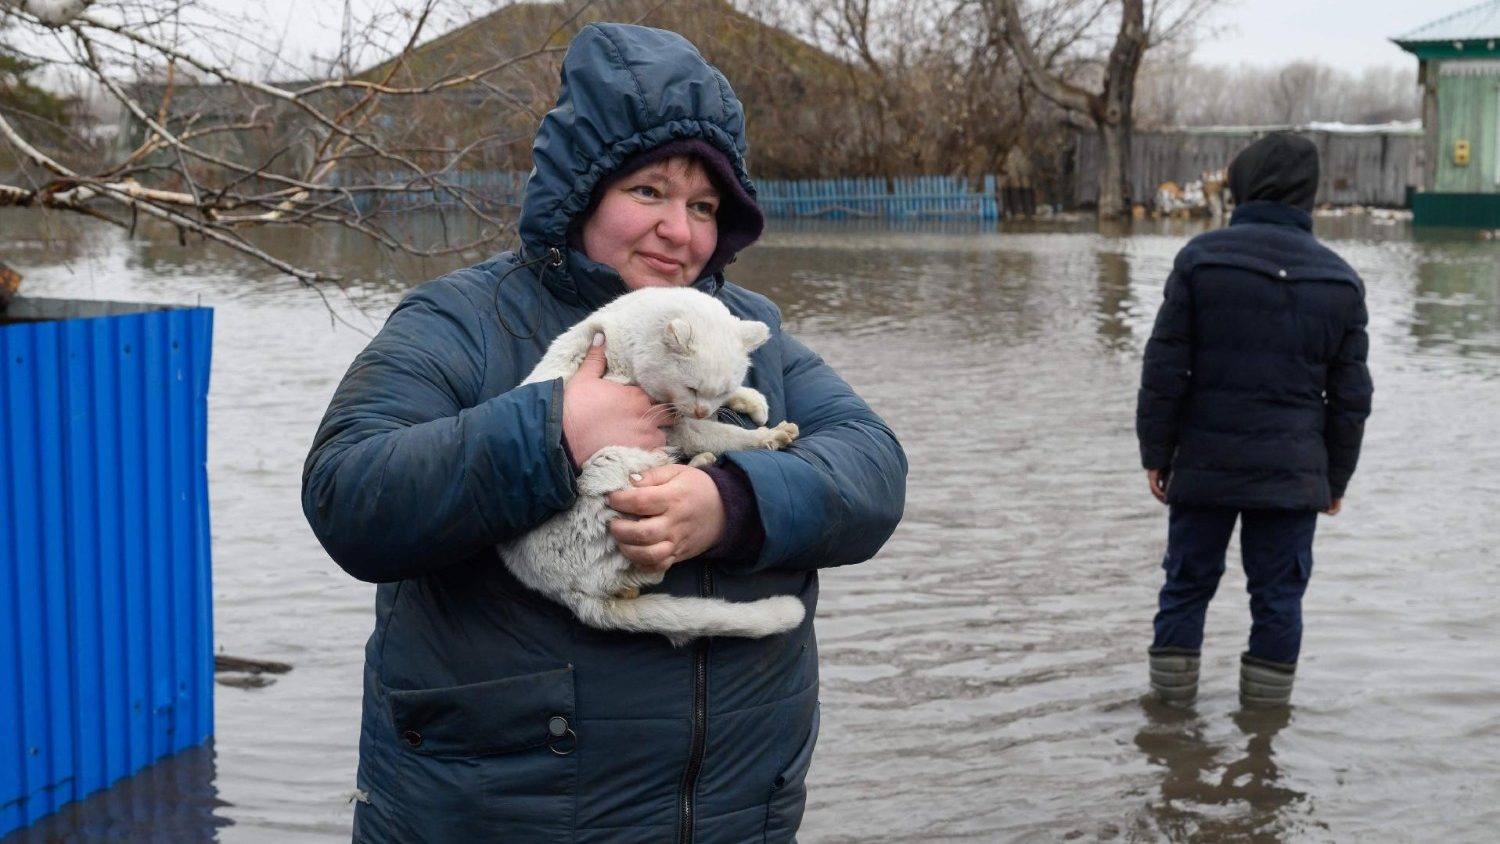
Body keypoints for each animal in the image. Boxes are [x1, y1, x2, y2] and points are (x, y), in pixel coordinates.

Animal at [498, 287, 810, 644]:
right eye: (691, 387)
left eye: (721, 390)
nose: (702, 410)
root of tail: (567, 595)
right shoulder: (670, 424)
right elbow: (720, 435)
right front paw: (768, 435)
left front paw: (751, 400)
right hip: (614, 466)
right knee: (649, 571)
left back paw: (698, 464)